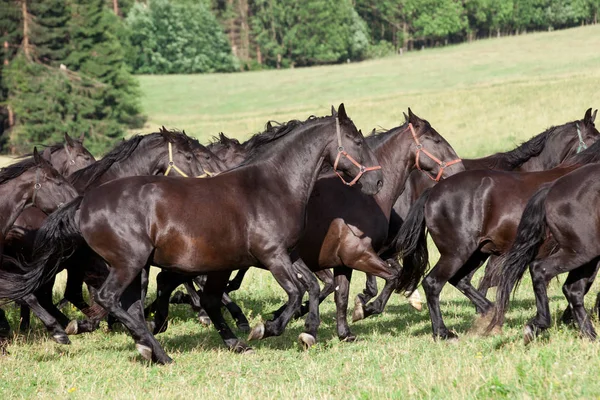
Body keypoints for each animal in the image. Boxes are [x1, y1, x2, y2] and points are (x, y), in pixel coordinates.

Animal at [5, 104, 384, 364]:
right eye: (356, 140)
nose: (378, 180)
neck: (273, 186)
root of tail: (83, 201)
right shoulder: (272, 256)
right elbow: (295, 293)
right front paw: (267, 328)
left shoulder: (287, 254)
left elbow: (313, 288)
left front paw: (307, 331)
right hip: (128, 263)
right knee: (110, 299)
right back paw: (153, 350)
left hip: (143, 266)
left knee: (135, 304)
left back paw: (159, 344)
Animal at [490, 162, 600, 344]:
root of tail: (551, 188)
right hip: (581, 251)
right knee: (539, 269)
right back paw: (538, 325)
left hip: (588, 256)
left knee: (573, 290)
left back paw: (590, 336)